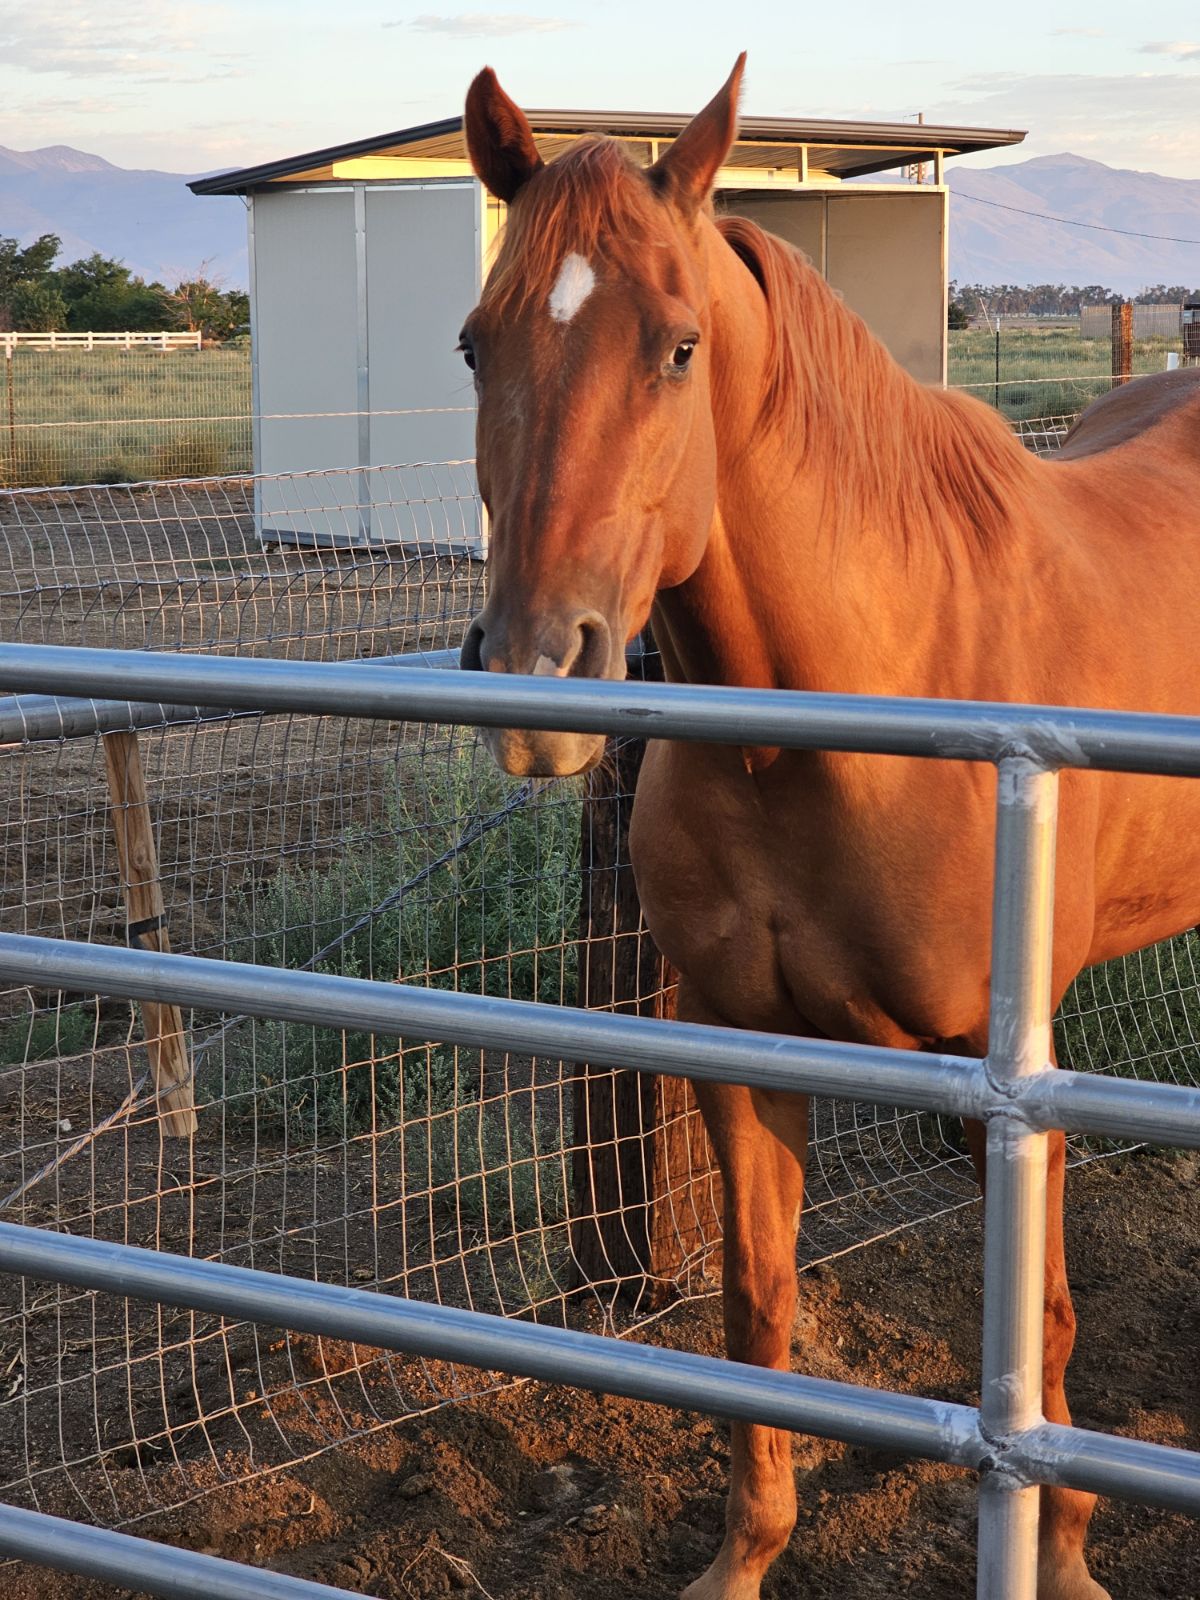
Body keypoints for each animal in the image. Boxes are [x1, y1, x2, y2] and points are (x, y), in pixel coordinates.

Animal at [456, 56, 1200, 1600]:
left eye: (678, 349)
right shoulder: (744, 1044)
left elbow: (1038, 1322)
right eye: (474, 345)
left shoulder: (1002, 1069)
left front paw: (1067, 1552)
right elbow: (757, 1309)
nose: (541, 668)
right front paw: (746, 1553)